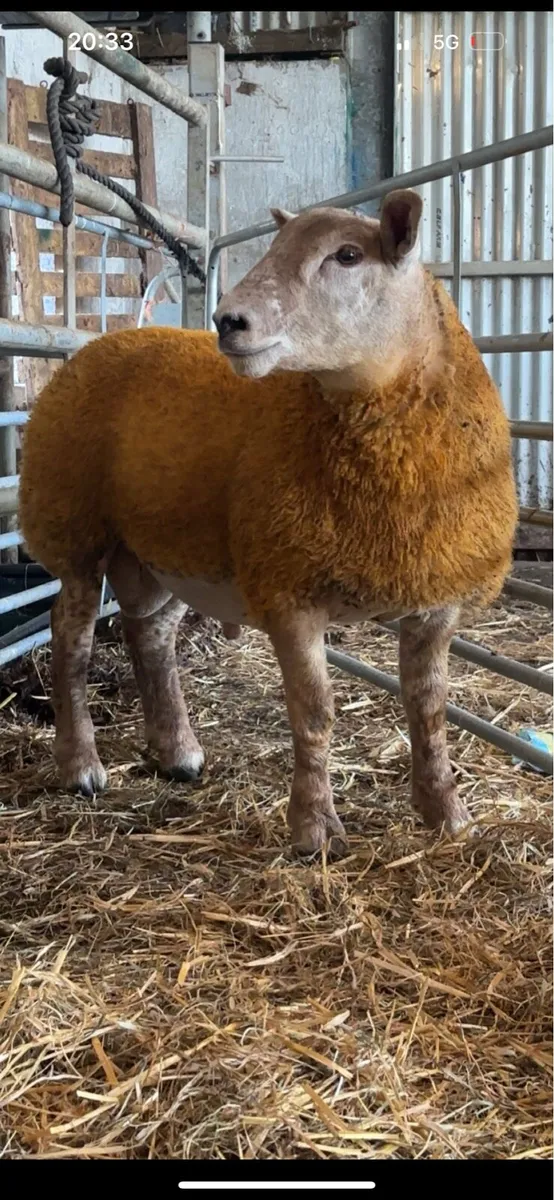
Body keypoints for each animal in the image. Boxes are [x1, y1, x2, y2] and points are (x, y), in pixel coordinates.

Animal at [19, 189, 518, 854]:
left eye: (348, 255)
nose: (228, 321)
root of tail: (108, 339)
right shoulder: (290, 591)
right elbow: (315, 712)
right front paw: (315, 829)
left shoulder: (434, 597)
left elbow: (430, 707)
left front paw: (447, 813)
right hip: (74, 525)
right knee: (69, 637)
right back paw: (80, 764)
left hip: (161, 547)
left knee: (150, 634)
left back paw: (176, 752)